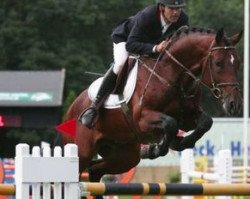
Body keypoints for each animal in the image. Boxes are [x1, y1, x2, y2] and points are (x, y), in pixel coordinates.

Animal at [59, 27, 243, 183]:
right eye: (218, 63)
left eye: (238, 63)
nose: (234, 104)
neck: (172, 75)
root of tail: (71, 109)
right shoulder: (143, 119)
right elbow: (170, 124)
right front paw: (157, 148)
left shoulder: (189, 118)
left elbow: (205, 122)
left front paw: (182, 142)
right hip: (82, 151)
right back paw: (89, 115)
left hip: (124, 156)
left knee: (96, 170)